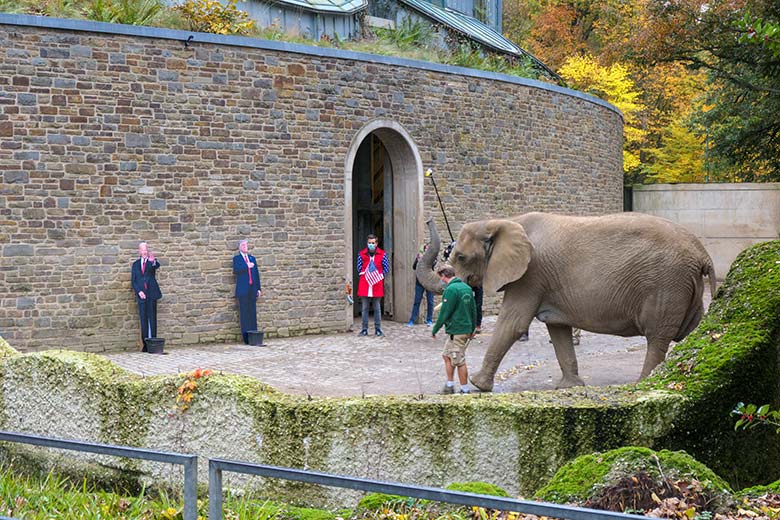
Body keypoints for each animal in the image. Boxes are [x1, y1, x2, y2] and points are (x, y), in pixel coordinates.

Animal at [436, 211, 716, 390]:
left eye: (460, 257)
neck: (502, 221)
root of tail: (702, 253)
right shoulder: (544, 282)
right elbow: (558, 329)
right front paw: (569, 387)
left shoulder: (531, 276)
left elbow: (513, 324)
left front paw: (478, 385)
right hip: (683, 286)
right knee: (689, 330)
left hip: (667, 285)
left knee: (657, 337)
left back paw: (643, 383)